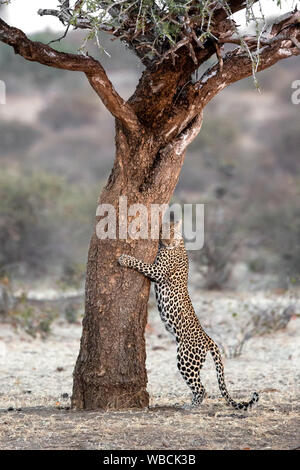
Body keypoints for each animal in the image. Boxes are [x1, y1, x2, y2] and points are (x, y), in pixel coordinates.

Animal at [118, 222, 258, 410]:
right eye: (164, 232)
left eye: (173, 233)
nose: (168, 241)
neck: (178, 245)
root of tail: (208, 338)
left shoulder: (158, 271)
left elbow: (140, 263)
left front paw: (124, 258)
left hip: (186, 359)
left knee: (201, 388)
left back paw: (190, 406)